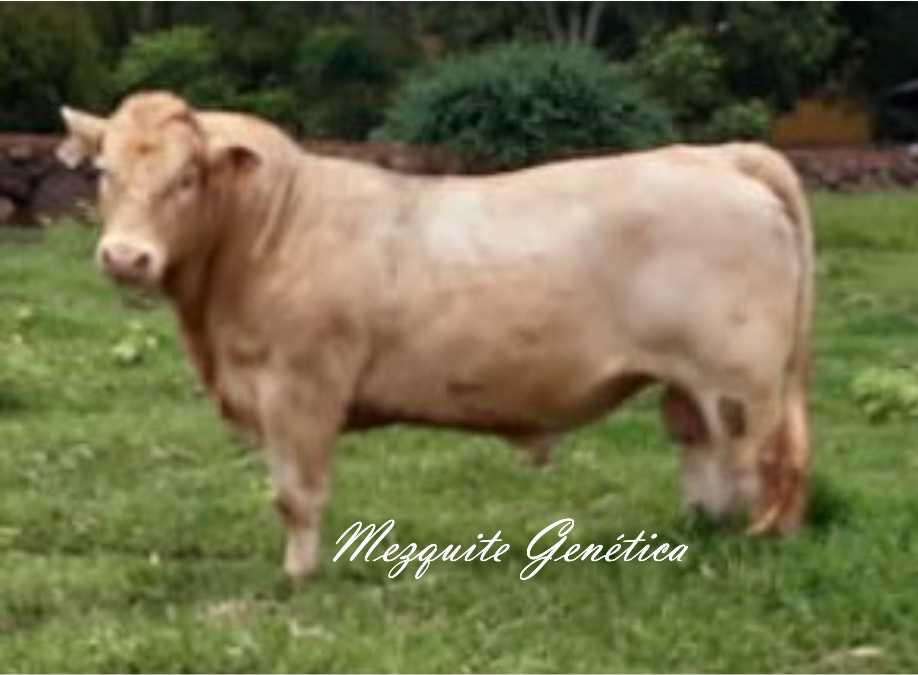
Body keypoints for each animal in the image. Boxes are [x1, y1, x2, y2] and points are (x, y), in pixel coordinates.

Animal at [58, 91, 813, 579]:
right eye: (103, 172)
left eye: (187, 176)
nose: (125, 257)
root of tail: (719, 156)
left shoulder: (300, 389)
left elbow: (296, 493)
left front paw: (298, 576)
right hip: (697, 384)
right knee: (706, 451)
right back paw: (702, 532)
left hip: (741, 380)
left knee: (766, 458)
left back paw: (760, 542)